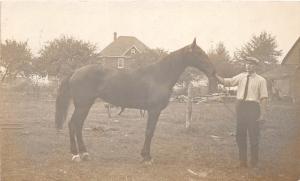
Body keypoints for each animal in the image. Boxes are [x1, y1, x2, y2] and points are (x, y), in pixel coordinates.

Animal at [54, 39, 216, 163]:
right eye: (199, 53)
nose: (213, 71)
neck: (159, 76)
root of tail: (75, 72)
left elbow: (150, 131)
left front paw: (145, 155)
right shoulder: (154, 111)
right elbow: (149, 132)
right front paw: (147, 157)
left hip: (84, 106)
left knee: (77, 126)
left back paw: (84, 153)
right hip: (83, 105)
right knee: (73, 125)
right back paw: (76, 154)